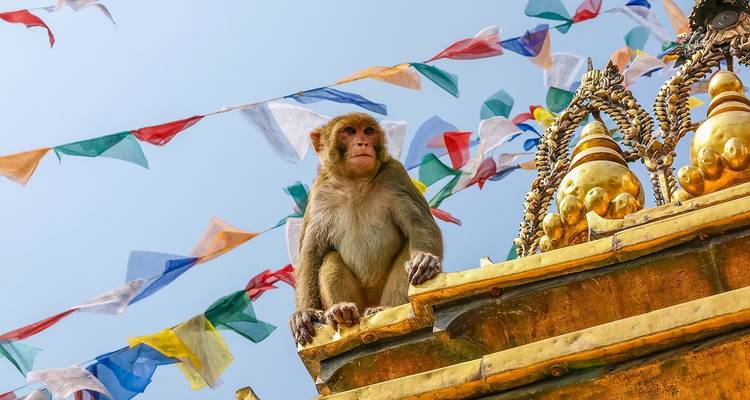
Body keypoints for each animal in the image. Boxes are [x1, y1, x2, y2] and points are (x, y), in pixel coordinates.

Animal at [289, 112, 444, 345]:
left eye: (368, 131)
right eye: (349, 131)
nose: (362, 143)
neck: (355, 181)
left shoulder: (395, 175)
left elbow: (419, 225)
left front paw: (426, 260)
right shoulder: (319, 194)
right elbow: (311, 253)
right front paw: (305, 313)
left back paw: (384, 308)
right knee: (331, 258)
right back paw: (342, 311)